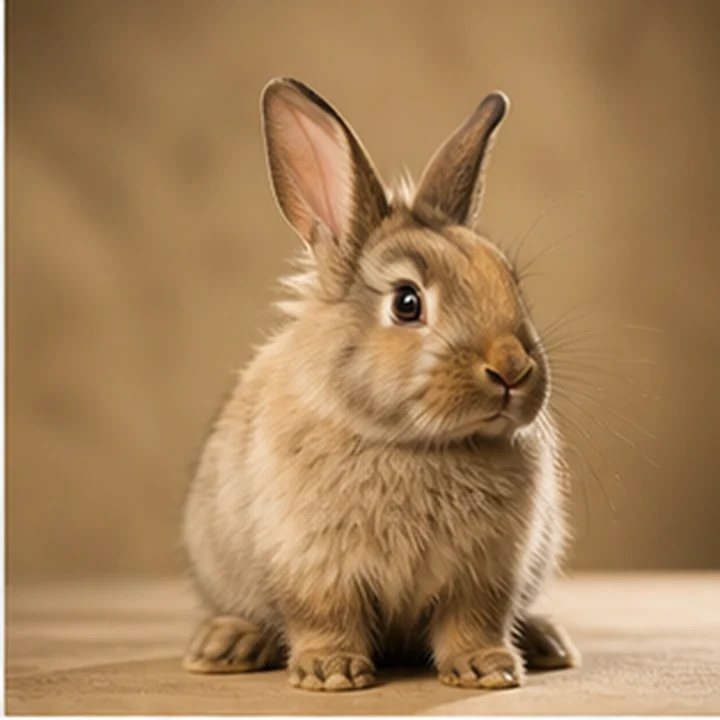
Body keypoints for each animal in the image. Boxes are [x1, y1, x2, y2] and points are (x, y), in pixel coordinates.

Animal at [182, 77, 579, 692]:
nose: (512, 369)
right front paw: (332, 673)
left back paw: (545, 641)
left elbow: (473, 622)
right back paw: (226, 645)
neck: (416, 443)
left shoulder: (485, 574)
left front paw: (487, 670)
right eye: (407, 303)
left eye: (509, 280)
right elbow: (325, 616)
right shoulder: (315, 566)